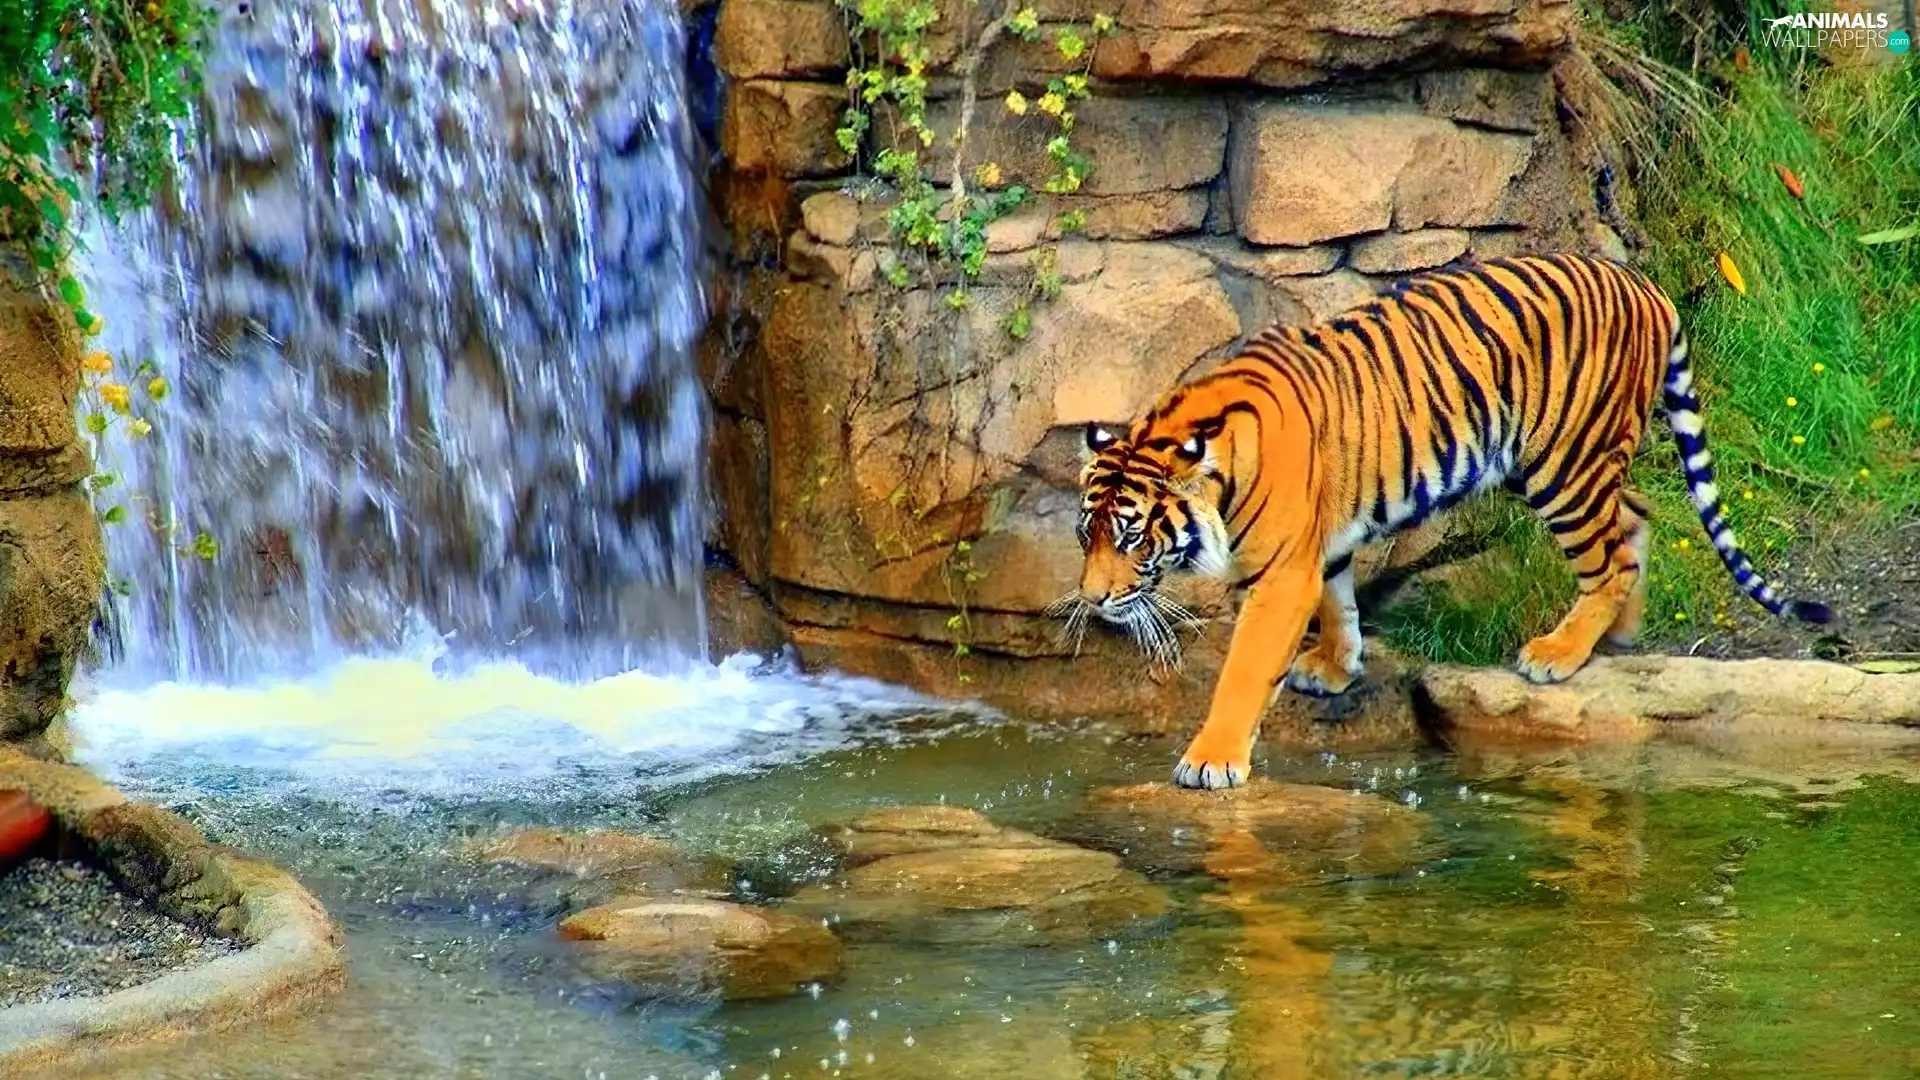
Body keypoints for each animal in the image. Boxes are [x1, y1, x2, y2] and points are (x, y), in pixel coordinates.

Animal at [1063, 252, 1831, 790]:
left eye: (1131, 536)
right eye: (1084, 536)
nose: (1093, 601)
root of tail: (1645, 286)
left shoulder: (1282, 573)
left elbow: (1246, 669)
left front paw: (1211, 760)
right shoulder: (1325, 543)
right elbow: (1339, 603)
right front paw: (1336, 666)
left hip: (1562, 464)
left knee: (1610, 557)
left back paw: (1559, 652)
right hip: (1576, 462)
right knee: (1637, 517)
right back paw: (1617, 634)